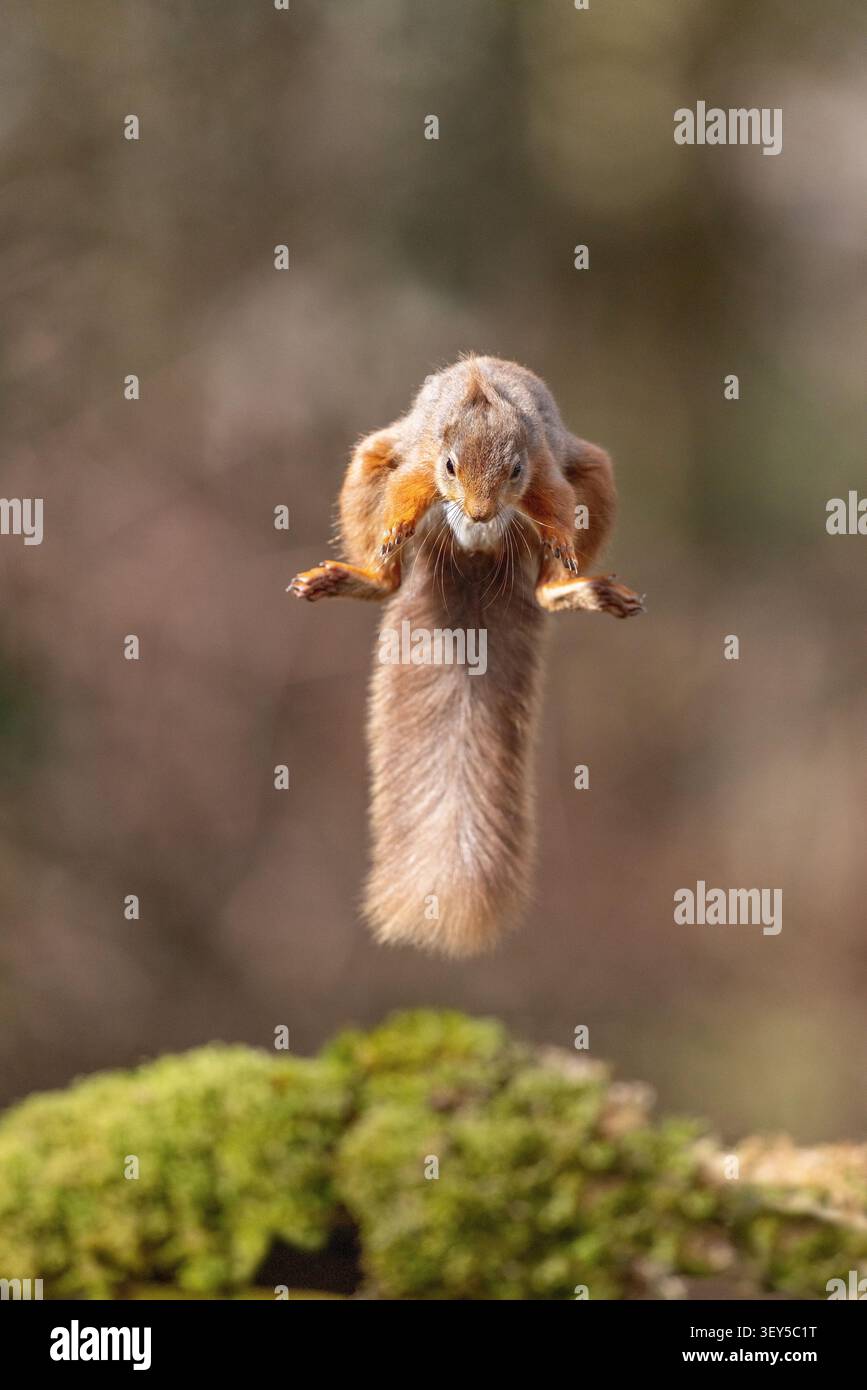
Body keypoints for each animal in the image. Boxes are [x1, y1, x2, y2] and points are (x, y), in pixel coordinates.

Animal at [289, 355, 643, 957]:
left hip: (594, 473)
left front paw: (562, 543)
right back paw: (362, 574)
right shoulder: (420, 456)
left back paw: (569, 588)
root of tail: (474, 550)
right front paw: (395, 526)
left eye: (515, 470)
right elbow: (406, 491)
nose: (479, 511)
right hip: (370, 461)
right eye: (451, 466)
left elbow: (556, 507)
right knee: (385, 575)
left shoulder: (544, 466)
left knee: (553, 572)